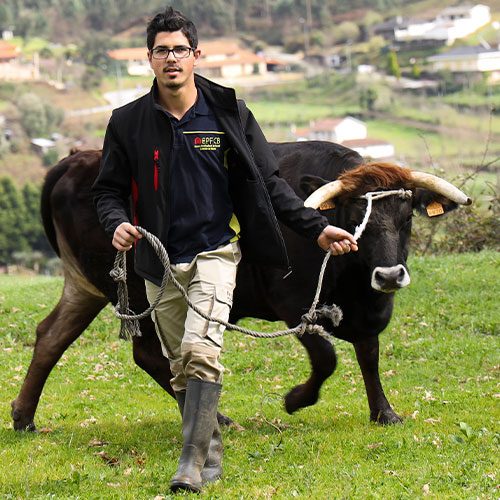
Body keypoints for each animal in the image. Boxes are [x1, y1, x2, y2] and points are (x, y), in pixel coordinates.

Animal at [12, 141, 472, 430]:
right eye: (357, 218)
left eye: (407, 217)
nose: (390, 275)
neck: (353, 280)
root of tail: (76, 159)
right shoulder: (292, 301)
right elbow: (326, 358)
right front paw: (296, 399)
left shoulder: (369, 307)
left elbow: (369, 355)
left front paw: (384, 413)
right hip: (138, 292)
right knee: (148, 354)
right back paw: (217, 419)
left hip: (85, 286)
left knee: (50, 336)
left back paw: (24, 417)